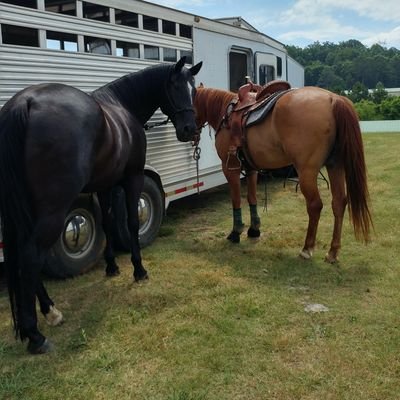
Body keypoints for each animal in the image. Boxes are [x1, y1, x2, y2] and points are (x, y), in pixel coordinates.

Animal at [0, 55, 202, 354]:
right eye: (175, 87)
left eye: (195, 90)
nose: (190, 129)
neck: (122, 107)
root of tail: (24, 103)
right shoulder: (132, 178)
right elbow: (131, 222)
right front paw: (139, 270)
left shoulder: (105, 185)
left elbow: (107, 222)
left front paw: (111, 267)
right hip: (52, 210)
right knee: (31, 256)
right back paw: (35, 335)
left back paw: (50, 311)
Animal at [194, 85, 372, 262]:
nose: (189, 132)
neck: (225, 113)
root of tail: (333, 98)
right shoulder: (251, 169)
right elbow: (252, 198)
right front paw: (254, 230)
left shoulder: (230, 167)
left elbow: (236, 200)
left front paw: (235, 232)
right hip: (335, 165)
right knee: (339, 202)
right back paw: (333, 252)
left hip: (307, 171)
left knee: (315, 205)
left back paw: (307, 248)